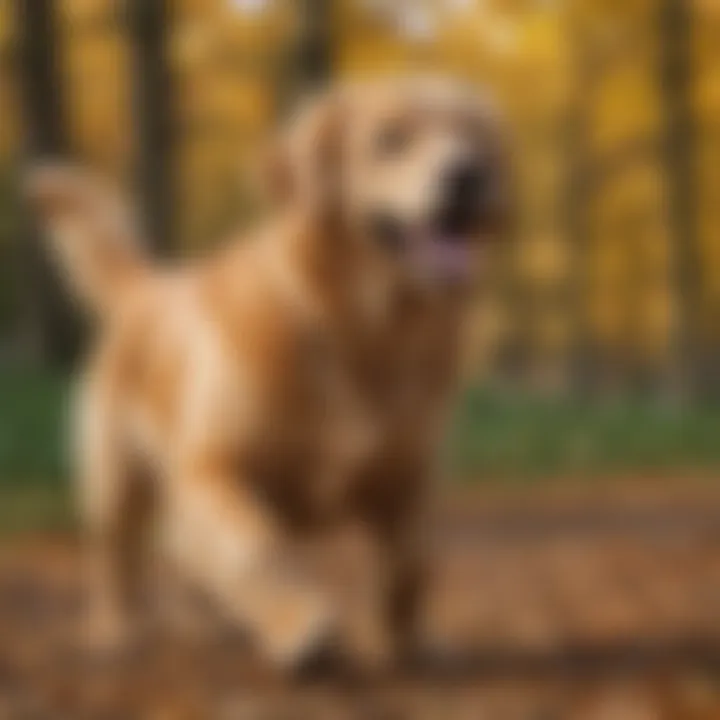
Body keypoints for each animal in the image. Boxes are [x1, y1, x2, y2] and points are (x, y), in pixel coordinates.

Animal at [23, 76, 506, 672]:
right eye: (389, 139)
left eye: (476, 139)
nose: (468, 174)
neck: (358, 335)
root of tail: (147, 286)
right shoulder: (211, 470)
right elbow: (253, 547)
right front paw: (302, 629)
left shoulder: (410, 478)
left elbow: (413, 562)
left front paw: (407, 644)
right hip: (114, 481)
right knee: (121, 558)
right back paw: (118, 630)